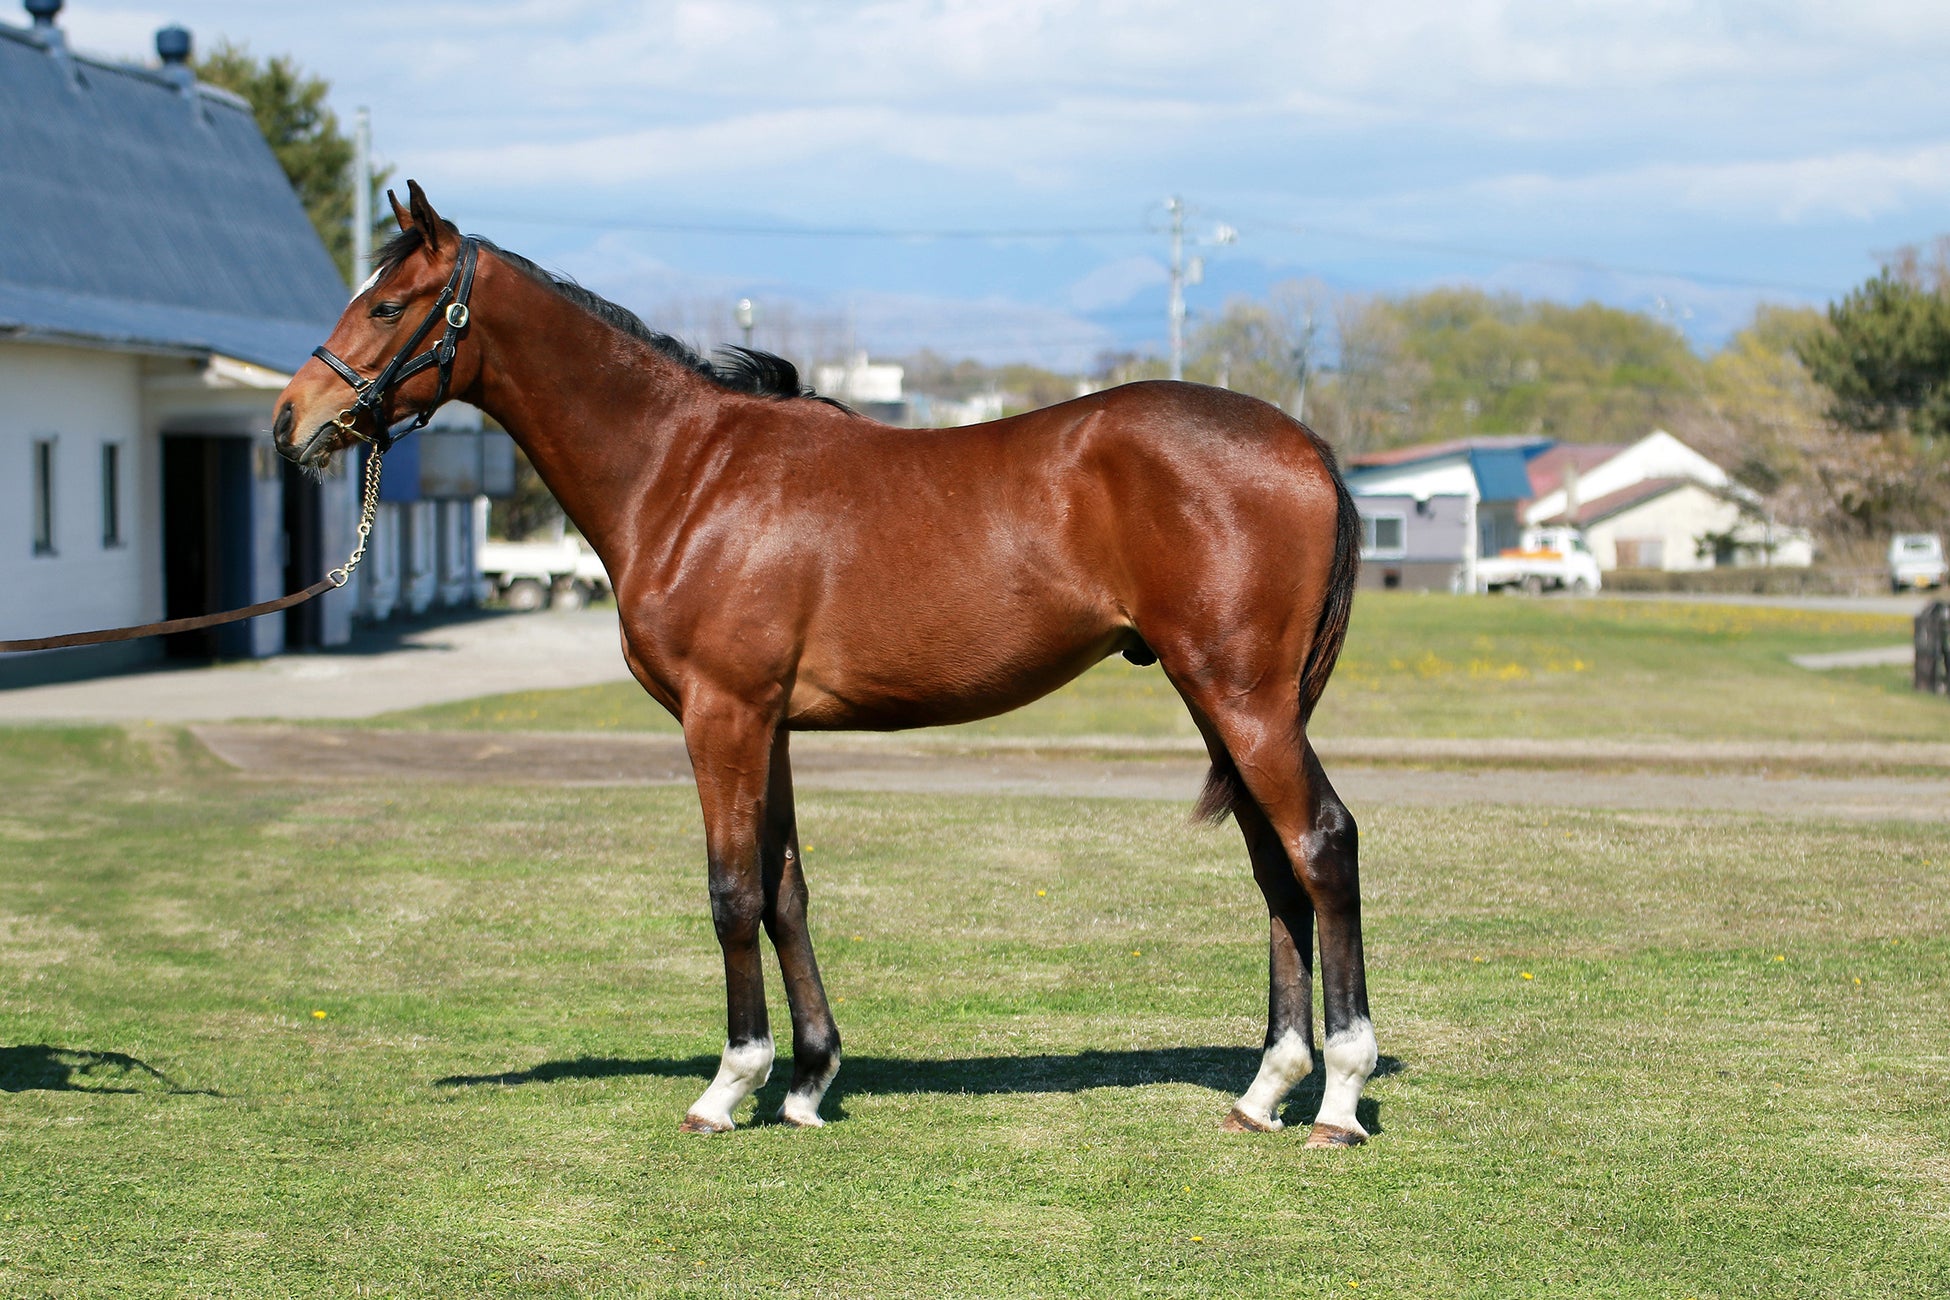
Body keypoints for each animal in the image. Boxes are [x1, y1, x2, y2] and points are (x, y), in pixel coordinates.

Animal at [272, 182, 1377, 1147]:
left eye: (388, 303)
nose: (292, 421)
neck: (687, 473)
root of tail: (1308, 444)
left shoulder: (720, 715)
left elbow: (731, 893)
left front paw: (729, 1086)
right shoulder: (769, 726)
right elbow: (786, 890)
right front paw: (806, 1080)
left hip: (1242, 700)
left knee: (1322, 844)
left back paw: (1337, 1095)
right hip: (1223, 701)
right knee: (1274, 865)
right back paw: (1265, 1091)